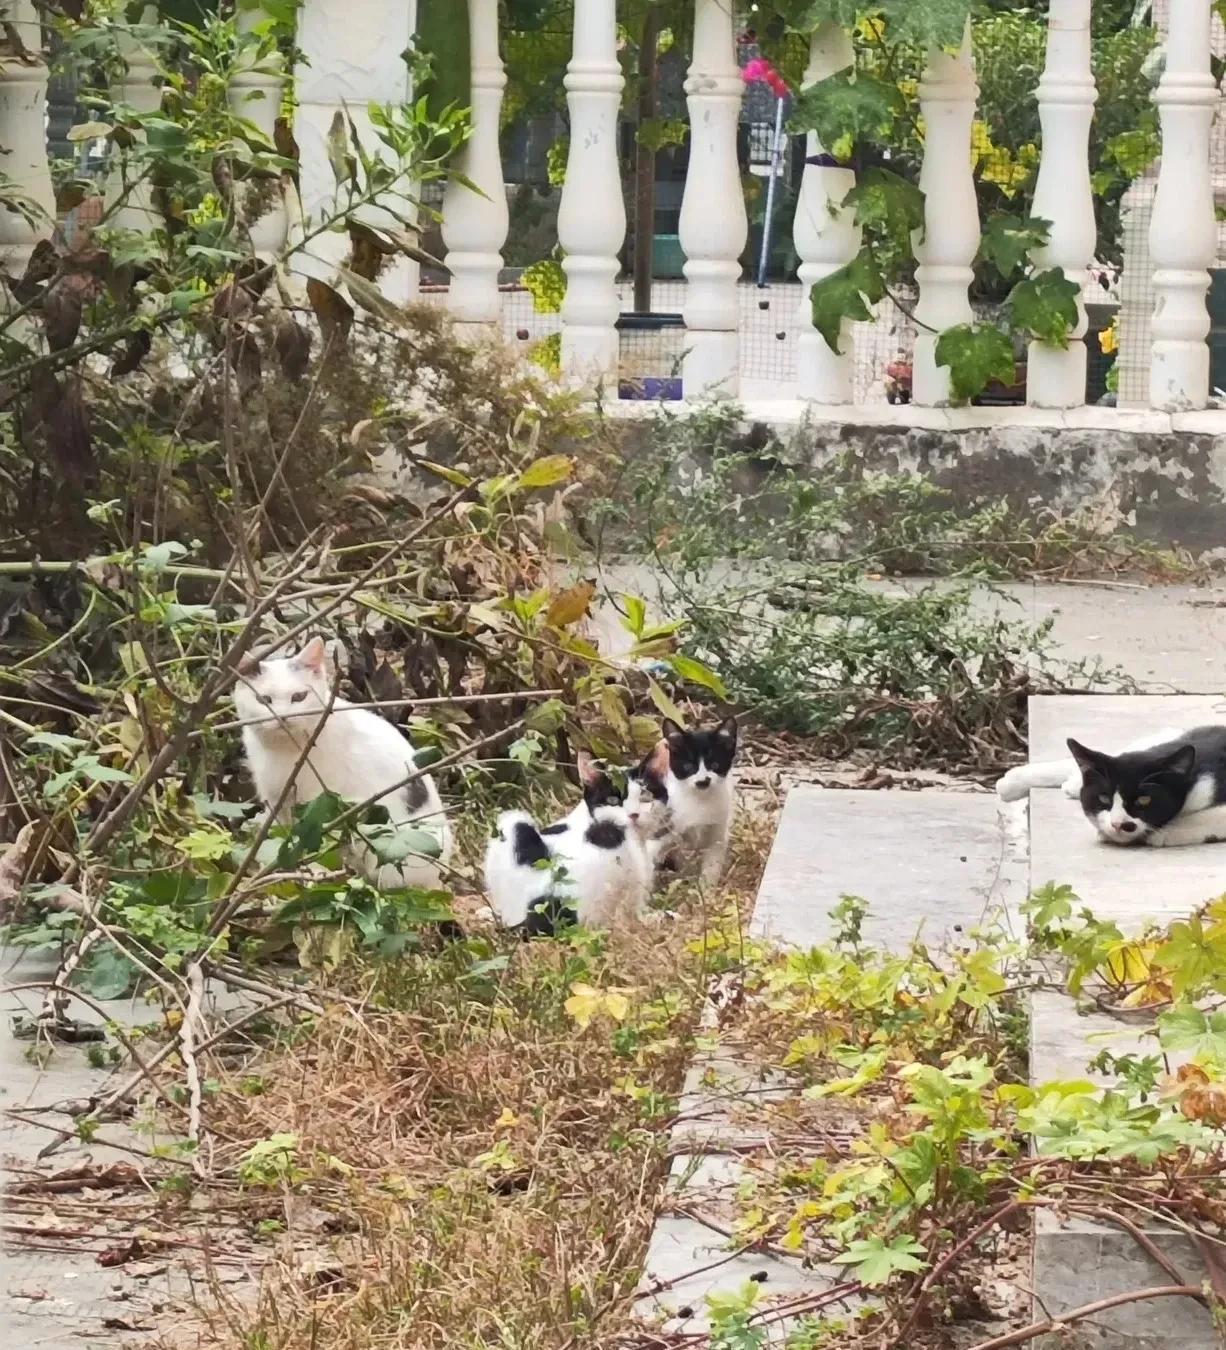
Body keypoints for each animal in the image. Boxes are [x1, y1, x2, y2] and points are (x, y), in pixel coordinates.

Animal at [233, 637, 450, 891]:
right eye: (264, 700)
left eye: (299, 697)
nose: (283, 717)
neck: (284, 751)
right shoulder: (275, 798)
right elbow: (279, 833)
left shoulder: (320, 804)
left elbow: (313, 840)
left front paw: (312, 871)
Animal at [993, 723, 1226, 847]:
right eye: (1104, 798)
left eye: (1144, 800)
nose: (1120, 825)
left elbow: (1214, 815)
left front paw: (1165, 832)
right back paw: (1015, 781)